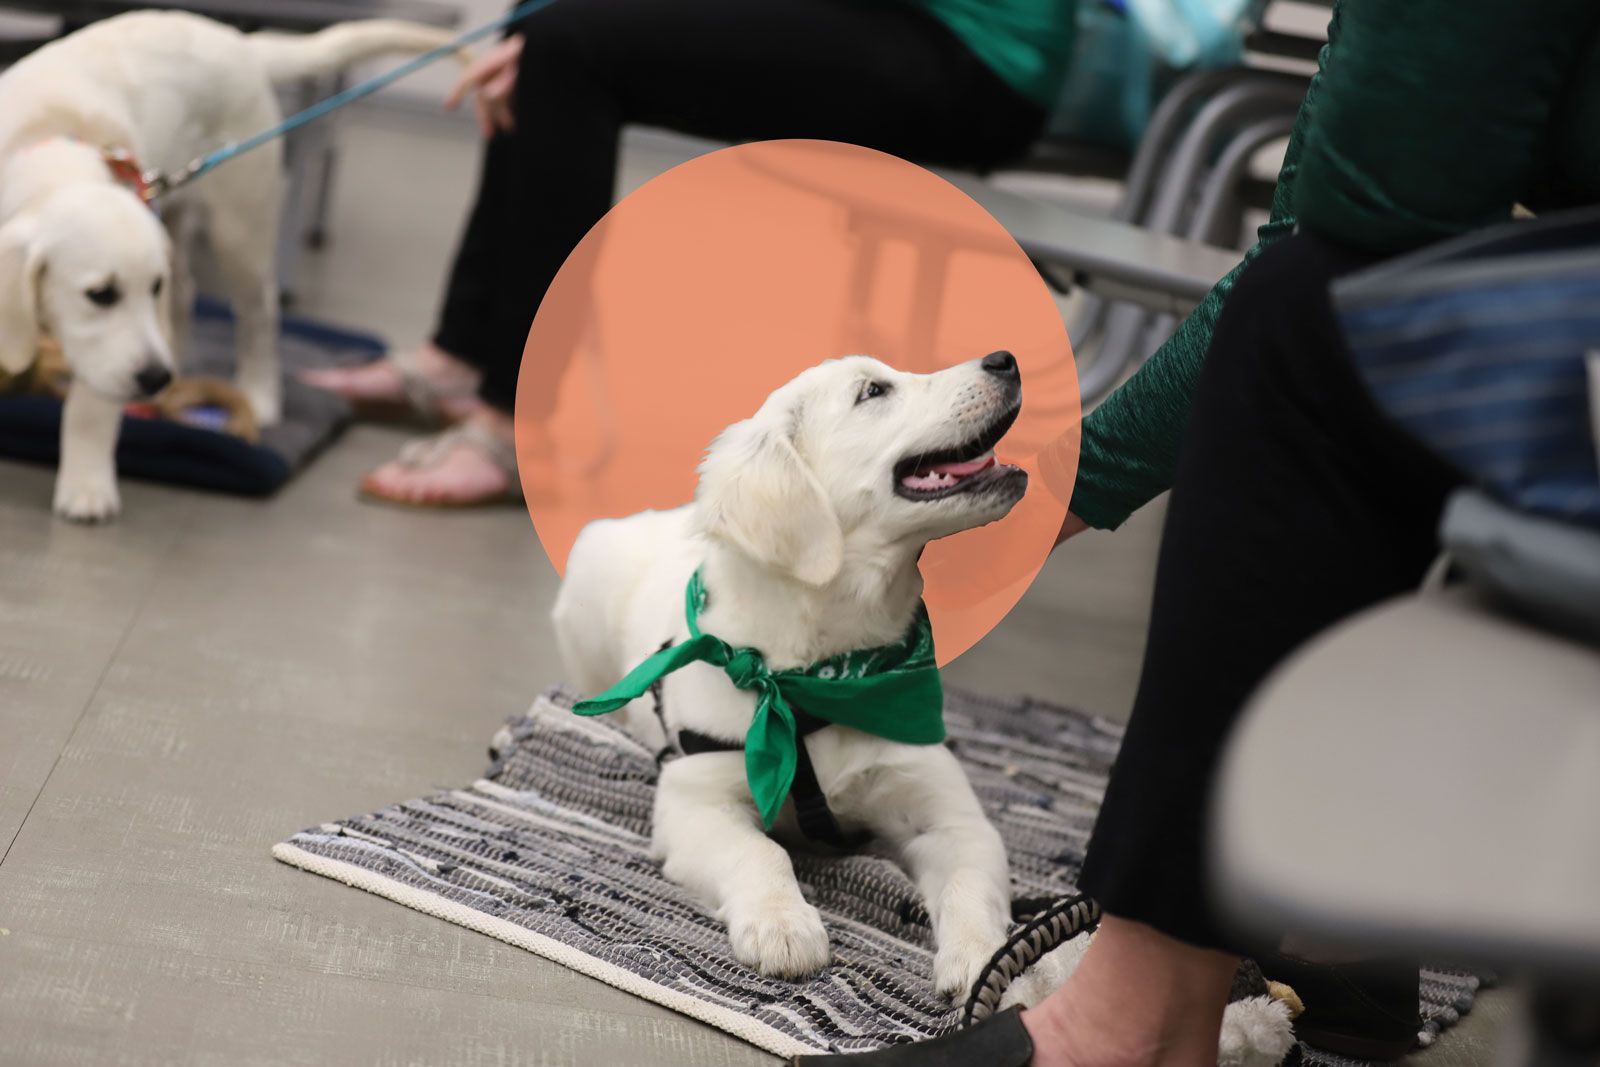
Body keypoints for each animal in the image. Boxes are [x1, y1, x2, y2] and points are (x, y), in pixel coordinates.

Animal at [0, 12, 457, 521]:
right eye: (101, 294)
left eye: (145, 288)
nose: (155, 378)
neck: (39, 146)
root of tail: (236, 39)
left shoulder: (109, 352)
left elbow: (91, 408)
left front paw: (86, 484)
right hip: (173, 219)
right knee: (184, 294)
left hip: (240, 225)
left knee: (258, 311)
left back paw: (257, 394)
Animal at [553, 351, 1024, 1004]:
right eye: (874, 391)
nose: (1006, 360)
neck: (820, 676)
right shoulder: (694, 802)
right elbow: (761, 851)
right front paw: (782, 925)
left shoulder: (953, 818)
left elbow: (968, 886)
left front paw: (987, 962)